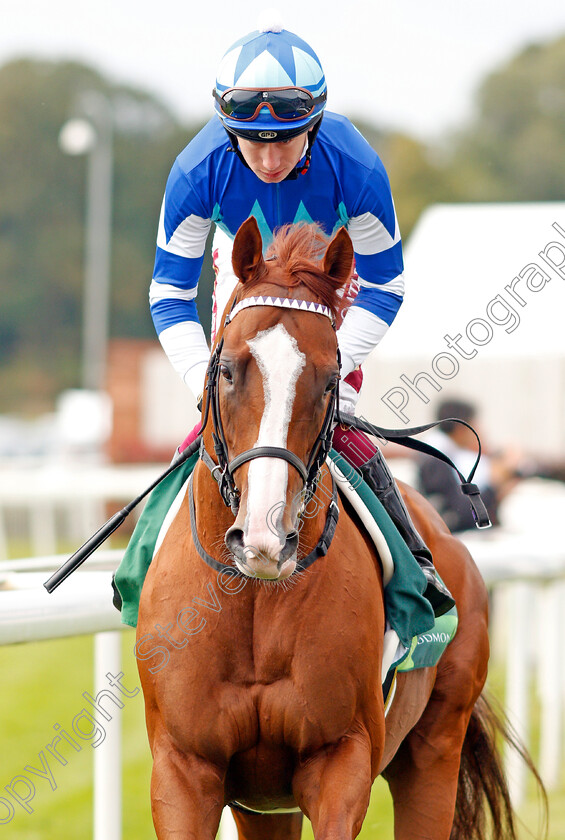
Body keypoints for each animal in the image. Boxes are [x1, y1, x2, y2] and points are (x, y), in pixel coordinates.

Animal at [137, 218, 532, 840]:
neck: (255, 597)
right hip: (263, 805)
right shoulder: (184, 767)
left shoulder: (340, 756)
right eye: (227, 370)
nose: (265, 539)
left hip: (434, 747)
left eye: (328, 382)